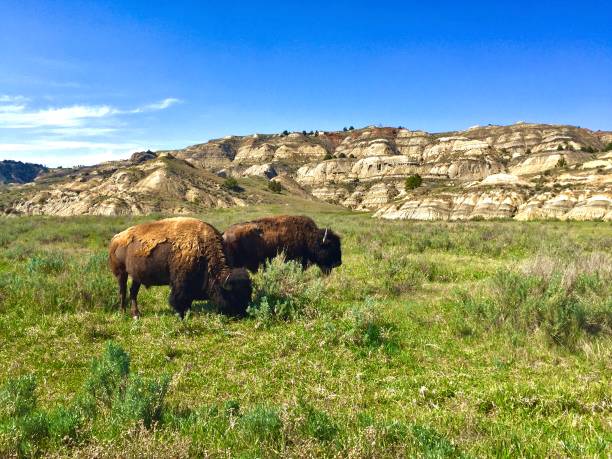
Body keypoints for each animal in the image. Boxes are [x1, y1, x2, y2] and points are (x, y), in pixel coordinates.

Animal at [109, 217, 252, 318]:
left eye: (248, 293)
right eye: (233, 295)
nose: (242, 314)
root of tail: (116, 238)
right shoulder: (180, 282)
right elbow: (178, 298)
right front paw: (181, 314)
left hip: (136, 277)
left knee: (133, 292)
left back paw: (136, 314)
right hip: (121, 273)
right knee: (122, 291)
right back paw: (122, 313)